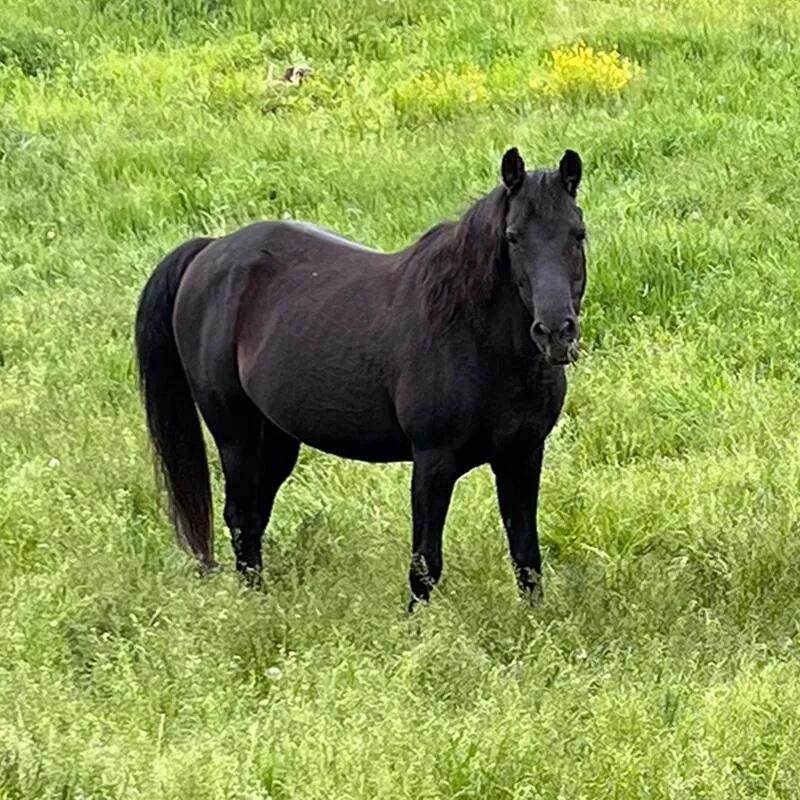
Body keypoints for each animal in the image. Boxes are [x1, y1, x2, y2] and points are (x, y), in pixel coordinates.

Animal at [135, 147, 587, 608]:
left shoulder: (522, 455)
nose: (555, 332)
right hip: (234, 434)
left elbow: (526, 558)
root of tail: (210, 251)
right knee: (241, 517)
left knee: (254, 518)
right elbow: (425, 565)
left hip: (276, 437)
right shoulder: (433, 461)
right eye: (513, 237)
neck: (473, 335)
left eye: (578, 234)